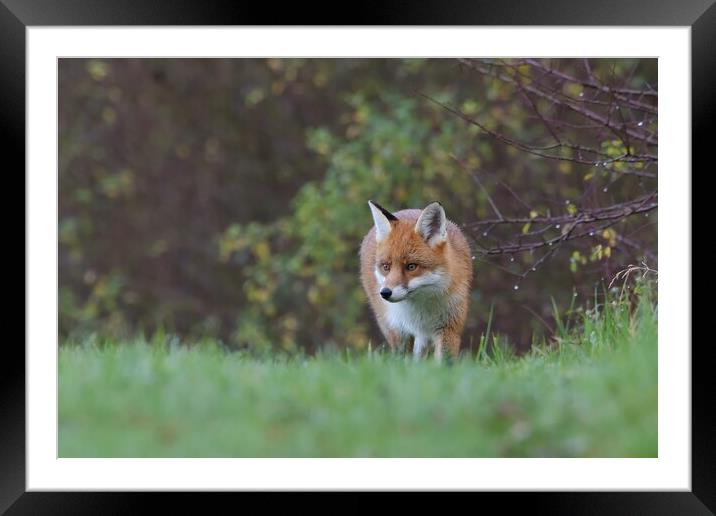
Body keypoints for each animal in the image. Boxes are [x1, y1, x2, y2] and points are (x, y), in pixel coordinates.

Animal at [360, 200, 472, 360]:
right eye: (386, 267)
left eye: (411, 266)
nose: (385, 293)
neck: (420, 308)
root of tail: (406, 210)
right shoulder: (399, 330)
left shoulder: (450, 326)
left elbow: (445, 361)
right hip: (388, 323)